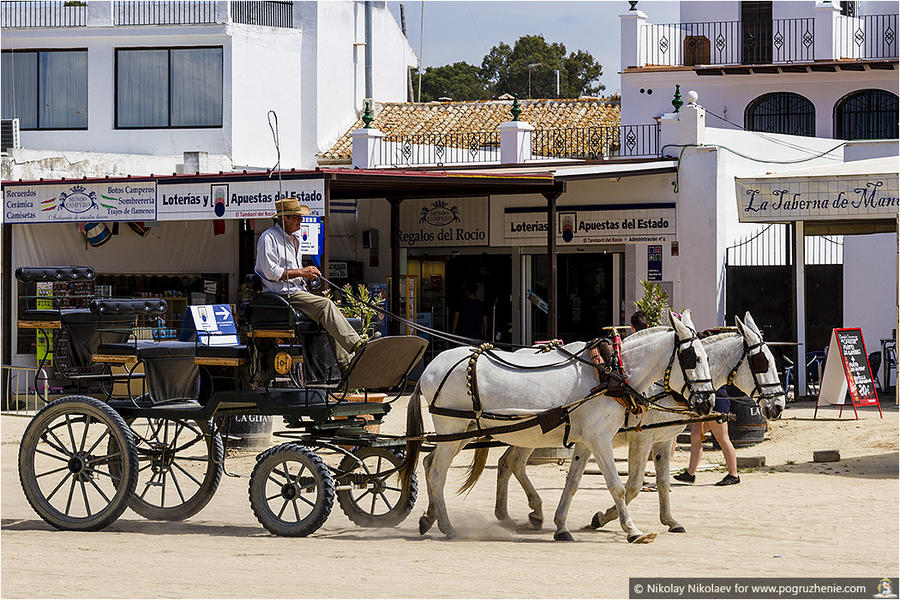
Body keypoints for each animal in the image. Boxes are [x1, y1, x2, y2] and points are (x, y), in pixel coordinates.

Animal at [398, 312, 712, 540]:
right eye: (691, 358)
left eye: (707, 357)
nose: (707, 402)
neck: (609, 374)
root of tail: (431, 368)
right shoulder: (600, 439)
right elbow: (617, 485)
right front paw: (633, 530)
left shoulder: (586, 441)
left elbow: (572, 484)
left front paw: (561, 526)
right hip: (453, 430)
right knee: (437, 472)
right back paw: (447, 526)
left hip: (462, 433)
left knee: (429, 463)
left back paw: (429, 518)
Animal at [488, 312, 784, 532]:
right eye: (762, 362)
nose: (779, 405)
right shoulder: (642, 437)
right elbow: (632, 485)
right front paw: (603, 517)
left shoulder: (662, 438)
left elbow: (662, 481)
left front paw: (670, 521)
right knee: (512, 463)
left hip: (529, 433)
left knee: (508, 463)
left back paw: (516, 513)